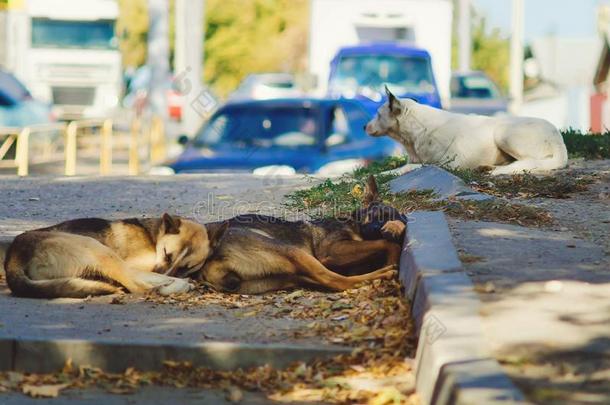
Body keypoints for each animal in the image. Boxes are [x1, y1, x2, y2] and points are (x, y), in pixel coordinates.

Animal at [364, 87, 568, 174]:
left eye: (378, 114)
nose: (363, 126)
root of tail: (558, 139)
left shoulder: (449, 164)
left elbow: (408, 168)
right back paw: (489, 167)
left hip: (503, 133)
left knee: (529, 162)